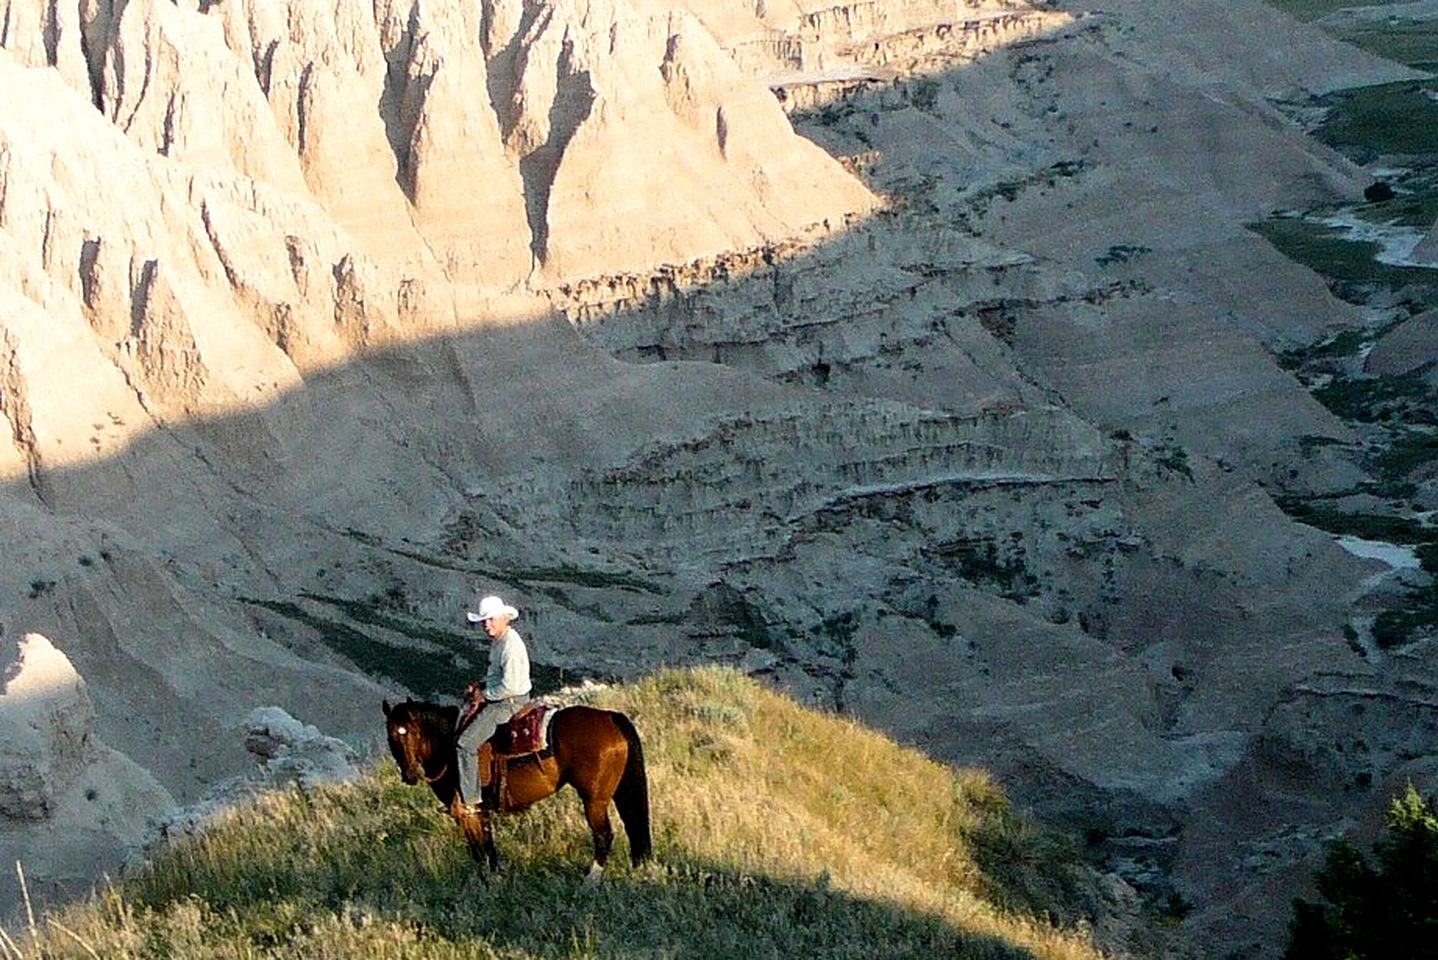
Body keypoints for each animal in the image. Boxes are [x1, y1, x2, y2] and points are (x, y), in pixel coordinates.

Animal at [382, 698, 652, 879]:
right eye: (391, 736)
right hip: (617, 791)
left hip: (594, 799)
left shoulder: (468, 812)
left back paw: (590, 880)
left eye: (411, 732)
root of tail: (611, 717)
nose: (409, 775)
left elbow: (478, 850)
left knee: (604, 834)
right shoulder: (481, 812)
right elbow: (488, 847)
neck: (448, 748)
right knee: (632, 824)